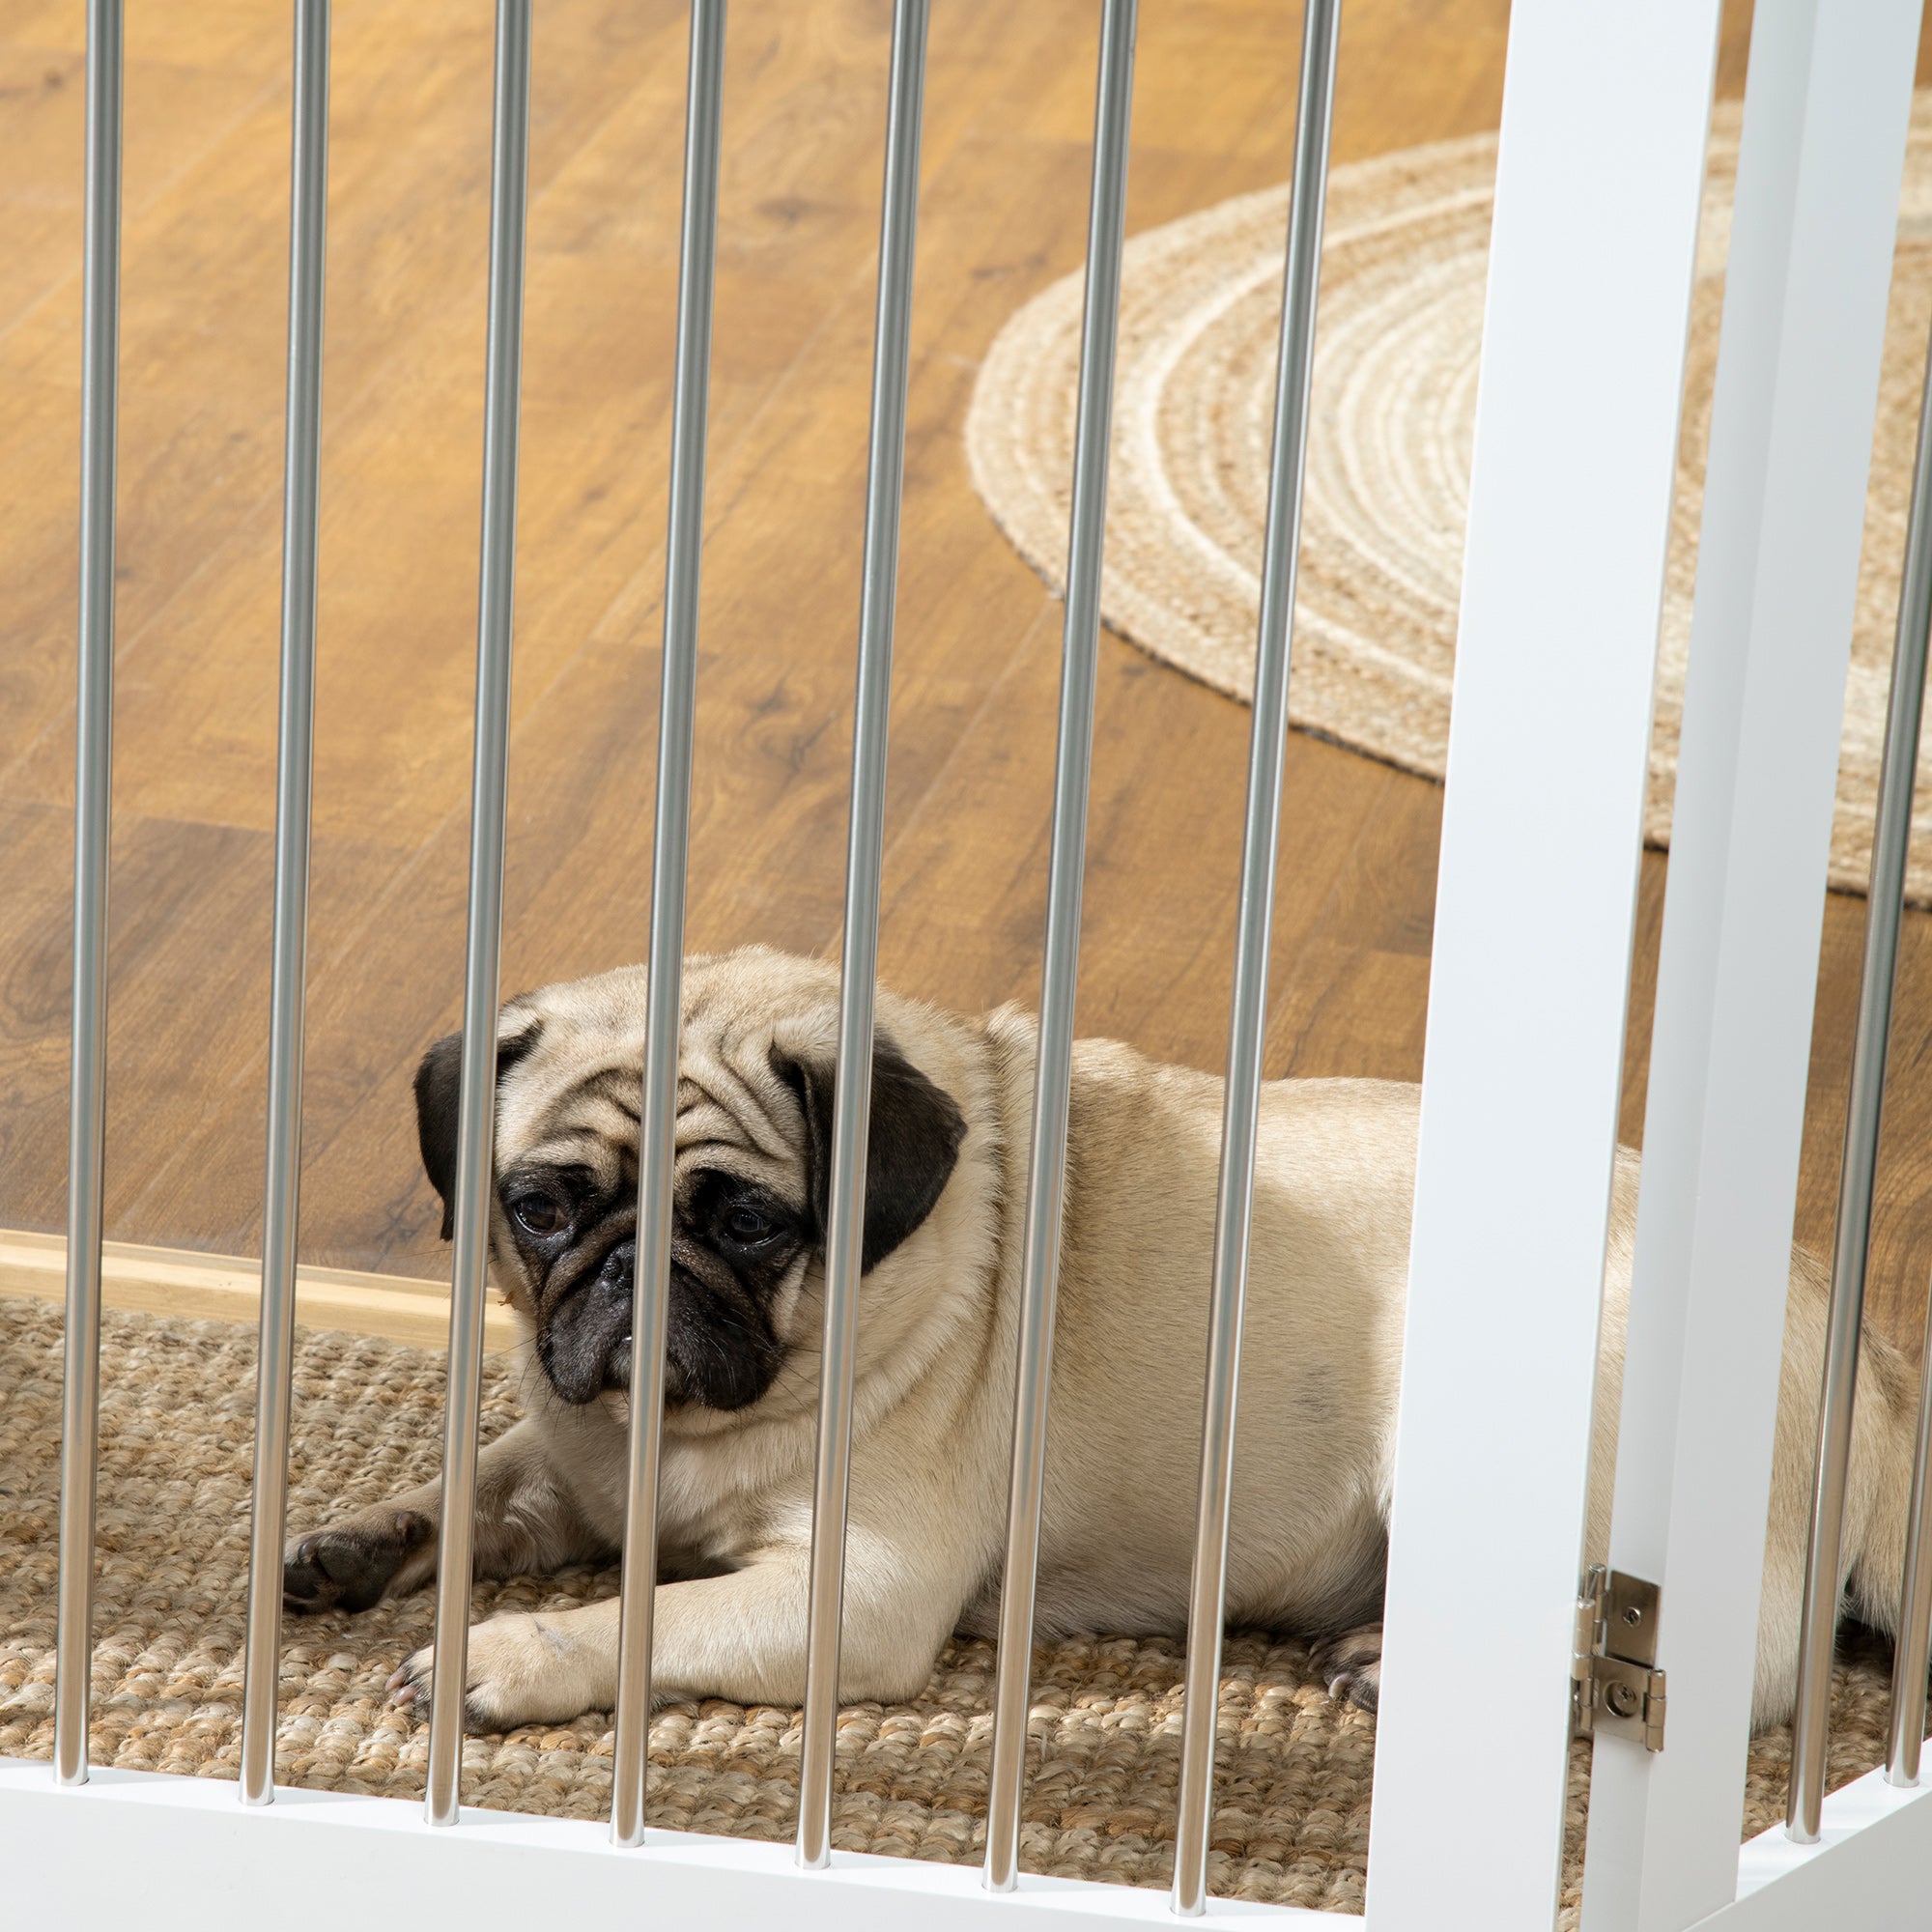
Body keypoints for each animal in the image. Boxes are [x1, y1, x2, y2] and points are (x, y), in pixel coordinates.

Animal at [280, 943, 1924, 1731]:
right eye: (543, 1208)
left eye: (749, 1225)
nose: (634, 1276)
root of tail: (1862, 1354)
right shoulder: (572, 1454)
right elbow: (483, 1484)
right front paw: (363, 1541)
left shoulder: (849, 1595)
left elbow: (649, 1617)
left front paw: (509, 1655)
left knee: (1716, 1663)